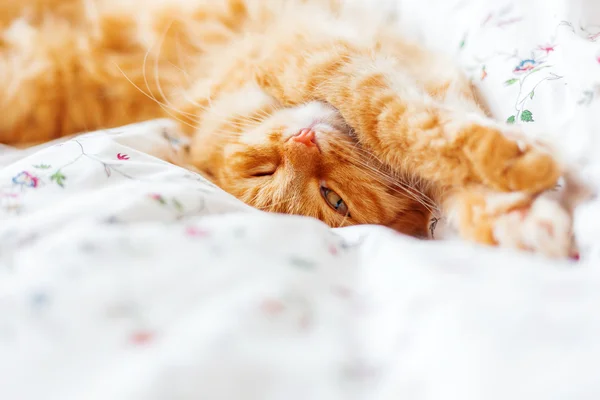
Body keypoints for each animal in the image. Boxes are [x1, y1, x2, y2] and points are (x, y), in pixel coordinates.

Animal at [0, 0, 572, 256]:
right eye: (333, 200)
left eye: (262, 168)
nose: (302, 141)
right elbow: (437, 151)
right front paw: (521, 204)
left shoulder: (325, 57)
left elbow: (396, 123)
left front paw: (513, 177)